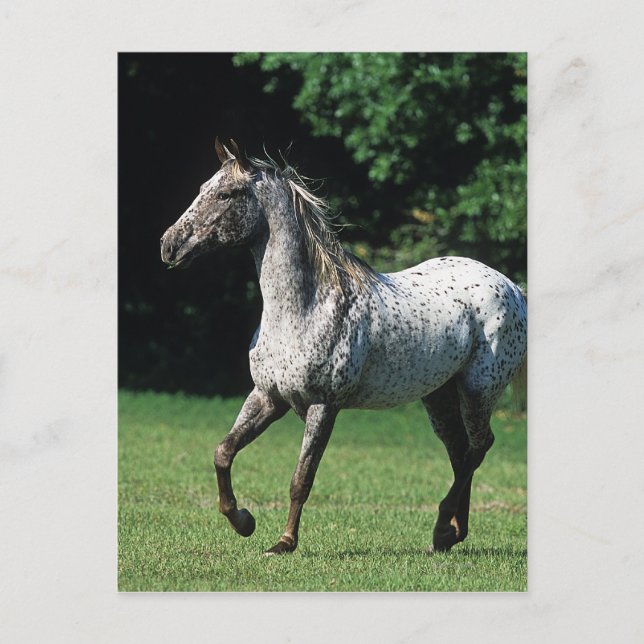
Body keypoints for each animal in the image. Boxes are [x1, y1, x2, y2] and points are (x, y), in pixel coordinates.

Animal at [160, 138, 527, 556]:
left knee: (479, 447)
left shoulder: (323, 406)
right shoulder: (268, 397)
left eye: (226, 193)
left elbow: (301, 479)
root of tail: (512, 288)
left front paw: (283, 543)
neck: (304, 307)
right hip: (439, 396)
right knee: (460, 450)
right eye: (203, 187)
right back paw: (451, 534)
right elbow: (223, 452)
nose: (168, 245)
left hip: (479, 390)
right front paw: (243, 522)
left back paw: (442, 528)